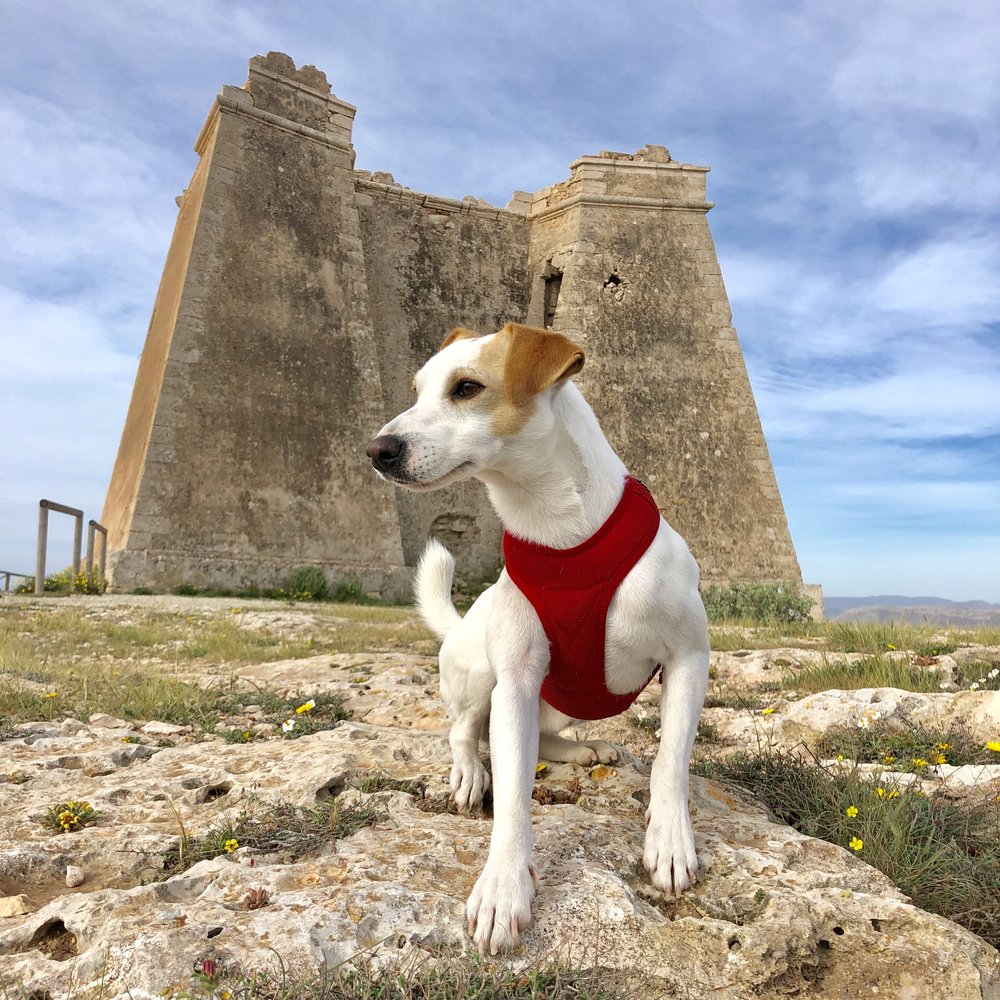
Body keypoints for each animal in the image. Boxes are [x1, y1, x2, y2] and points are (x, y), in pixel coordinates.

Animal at [368, 324, 712, 956]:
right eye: (416, 390)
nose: (377, 449)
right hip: (481, 674)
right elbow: (512, 798)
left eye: (466, 388)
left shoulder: (689, 659)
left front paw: (671, 841)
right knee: (464, 732)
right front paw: (503, 887)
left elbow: (670, 760)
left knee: (544, 737)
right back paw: (470, 773)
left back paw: (585, 748)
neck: (560, 534)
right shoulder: (517, 683)